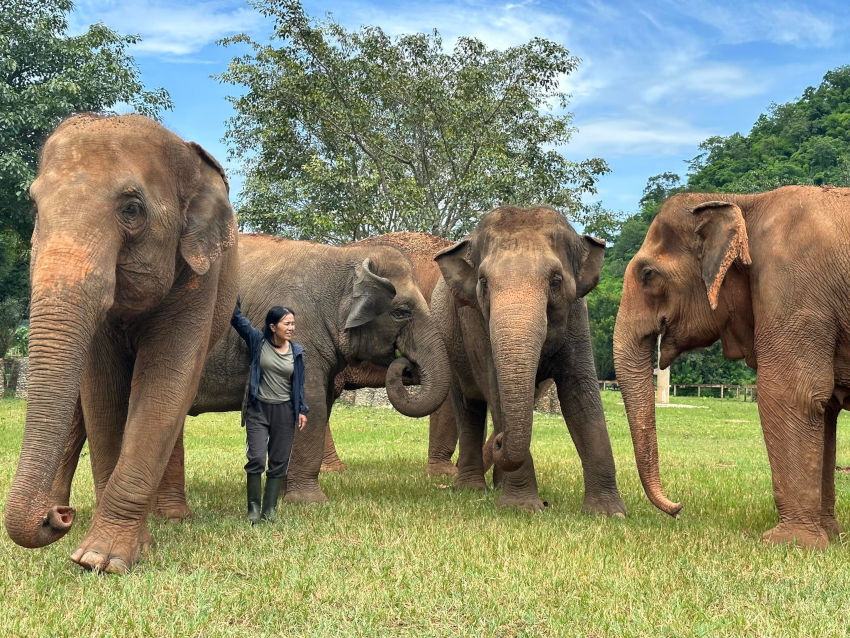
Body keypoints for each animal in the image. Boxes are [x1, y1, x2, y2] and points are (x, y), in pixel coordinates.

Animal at [4, 113, 239, 574]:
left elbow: (165, 382)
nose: (58, 519)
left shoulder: (202, 276)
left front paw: (103, 558)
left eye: (132, 209)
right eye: (35, 207)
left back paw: (172, 517)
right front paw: (99, 553)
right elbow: (102, 393)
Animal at [430, 205, 626, 514]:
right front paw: (522, 508)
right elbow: (497, 392)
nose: (499, 443)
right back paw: (472, 488)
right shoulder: (476, 324)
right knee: (469, 405)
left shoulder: (577, 316)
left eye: (556, 281)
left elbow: (581, 394)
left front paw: (608, 513)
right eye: (483, 283)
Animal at [613, 185, 850, 549]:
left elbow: (792, 393)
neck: (745, 201)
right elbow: (825, 409)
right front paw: (829, 536)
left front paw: (789, 544)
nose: (678, 509)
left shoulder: (794, 286)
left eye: (648, 274)